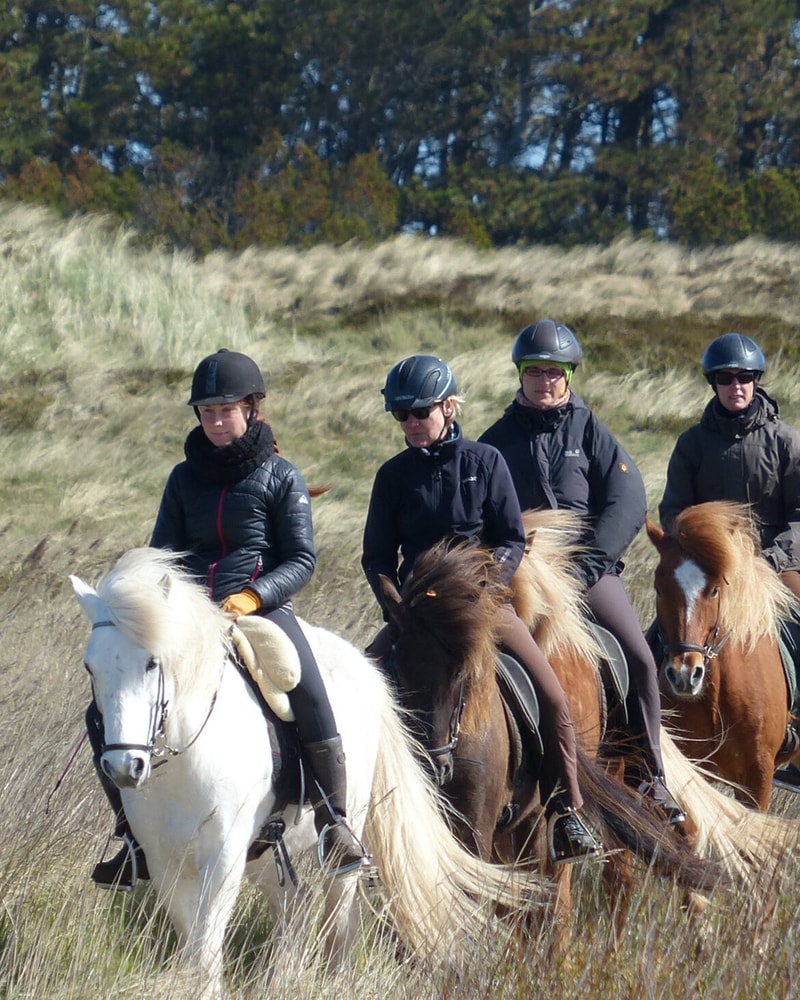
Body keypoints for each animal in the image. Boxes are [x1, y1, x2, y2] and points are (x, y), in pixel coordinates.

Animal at [72, 548, 540, 1000]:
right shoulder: (163, 860)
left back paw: (333, 979)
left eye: (153, 663)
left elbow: (207, 945)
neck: (186, 758)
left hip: (342, 834)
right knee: (295, 909)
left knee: (338, 910)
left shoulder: (222, 857)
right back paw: (281, 981)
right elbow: (194, 943)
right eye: (91, 668)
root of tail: (365, 669)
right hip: (263, 850)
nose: (123, 766)